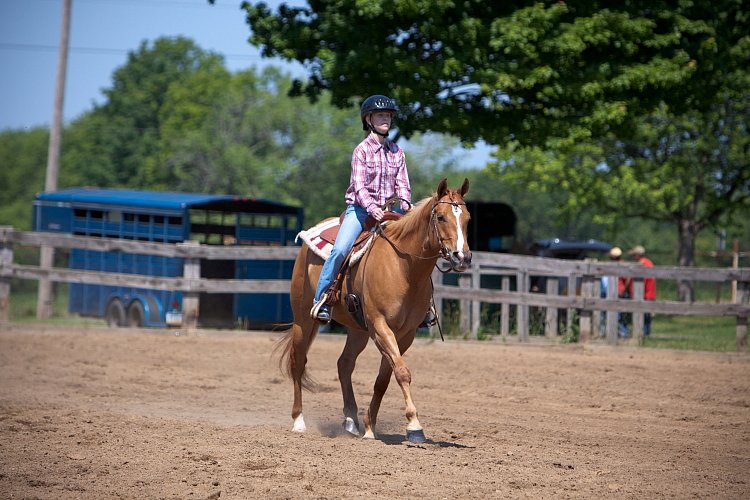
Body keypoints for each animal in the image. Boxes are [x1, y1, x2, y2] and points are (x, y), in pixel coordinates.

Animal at [280, 179, 472, 442]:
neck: (404, 268)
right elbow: (402, 372)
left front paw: (370, 426)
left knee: (344, 364)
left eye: (468, 218)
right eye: (441, 217)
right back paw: (299, 421)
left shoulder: (405, 334)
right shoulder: (381, 326)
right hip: (303, 319)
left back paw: (350, 421)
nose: (462, 256)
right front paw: (414, 426)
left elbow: (384, 379)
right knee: (298, 362)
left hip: (358, 330)